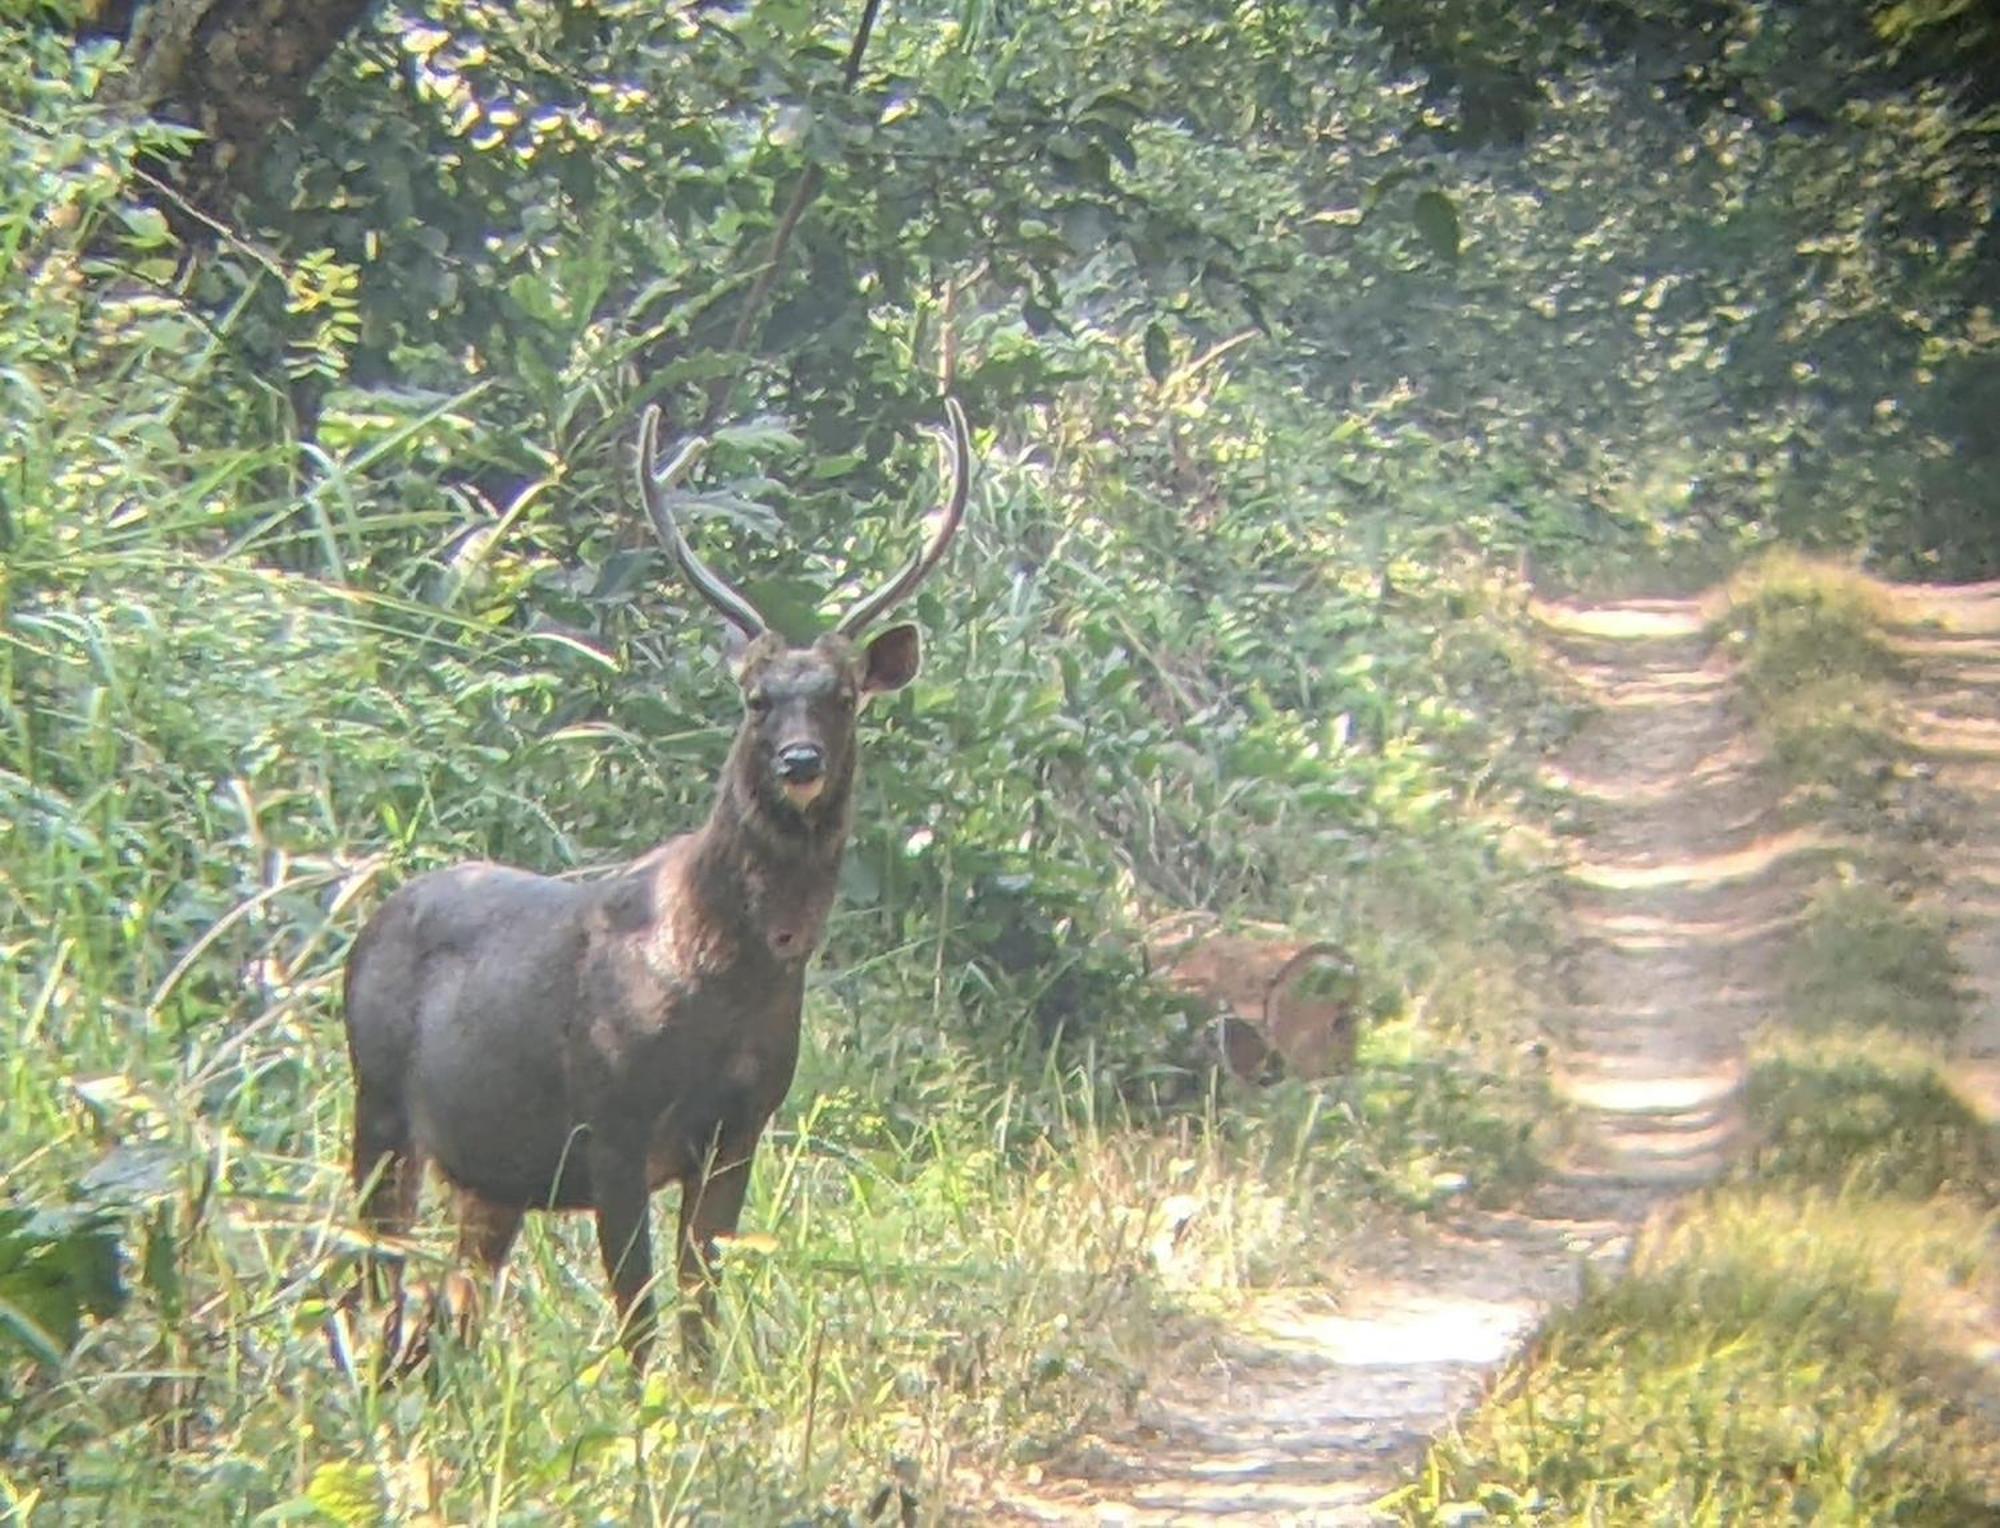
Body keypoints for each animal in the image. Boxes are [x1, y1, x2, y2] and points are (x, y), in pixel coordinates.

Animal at [344, 396, 976, 1376]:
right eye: (757, 700)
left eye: (842, 697)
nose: (800, 762)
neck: (719, 976)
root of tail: (369, 925)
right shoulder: (612, 1122)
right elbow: (639, 1317)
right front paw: (647, 1410)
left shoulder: (741, 1130)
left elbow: (700, 1306)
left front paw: (703, 1398)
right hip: (376, 1101)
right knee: (369, 1279)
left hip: (487, 1171)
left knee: (451, 1309)